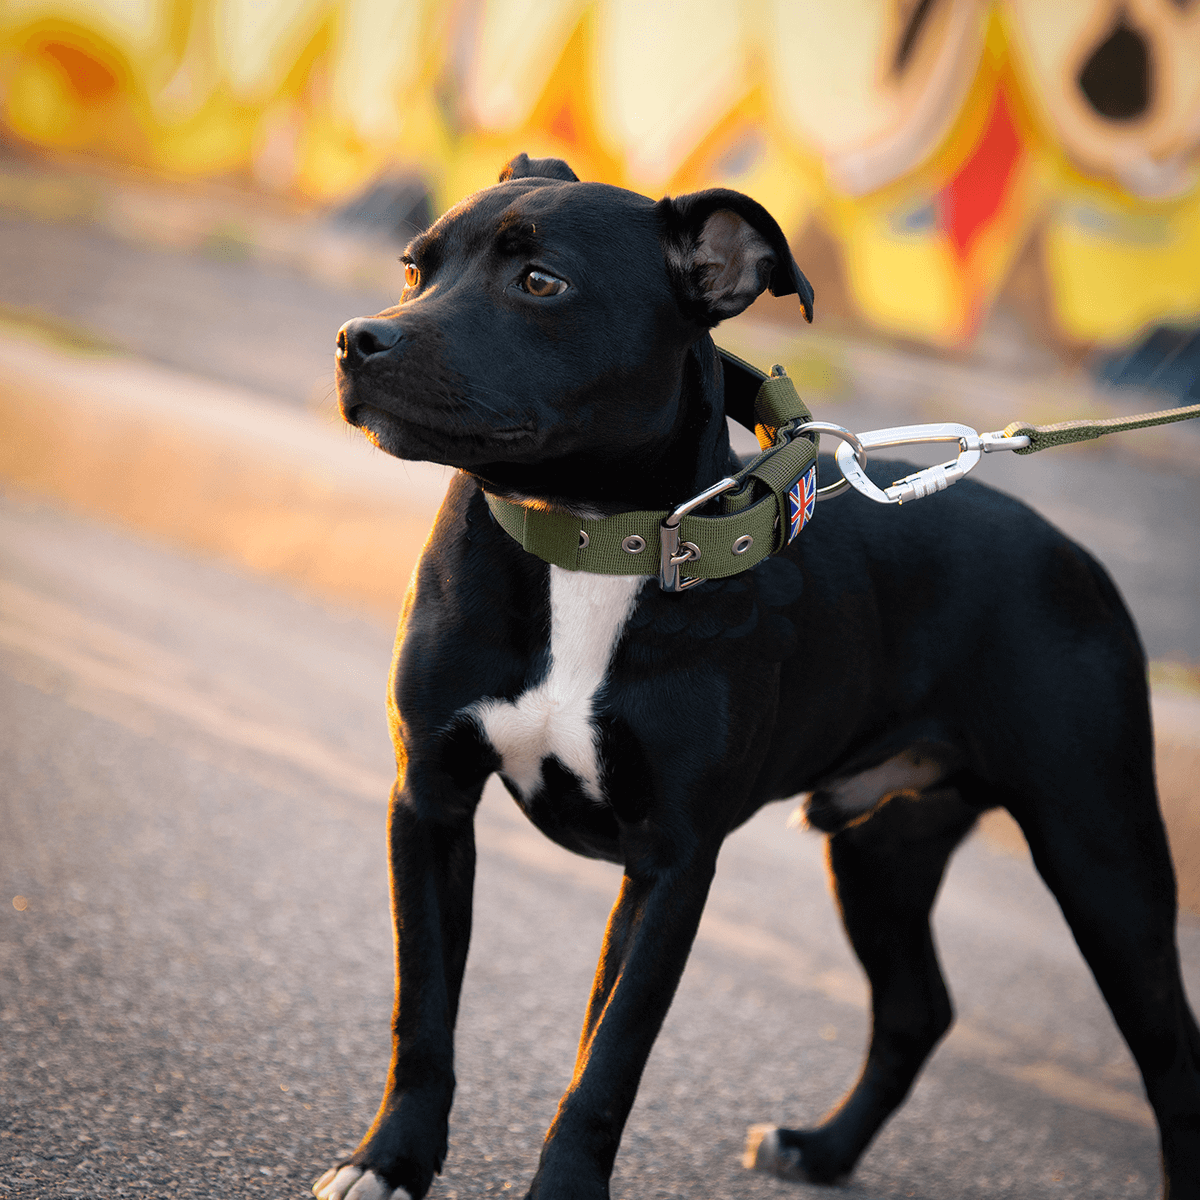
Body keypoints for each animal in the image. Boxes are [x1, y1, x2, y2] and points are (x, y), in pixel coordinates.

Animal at [312, 154, 1200, 1195]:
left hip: (1102, 858)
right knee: (917, 1009)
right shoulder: (432, 802)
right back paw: (823, 1149)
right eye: (414, 269)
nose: (359, 337)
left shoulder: (671, 862)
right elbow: (424, 1012)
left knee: (1170, 1058)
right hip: (883, 847)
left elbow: (607, 1064)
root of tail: (1077, 555)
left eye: (540, 283)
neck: (592, 539)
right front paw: (390, 1159)